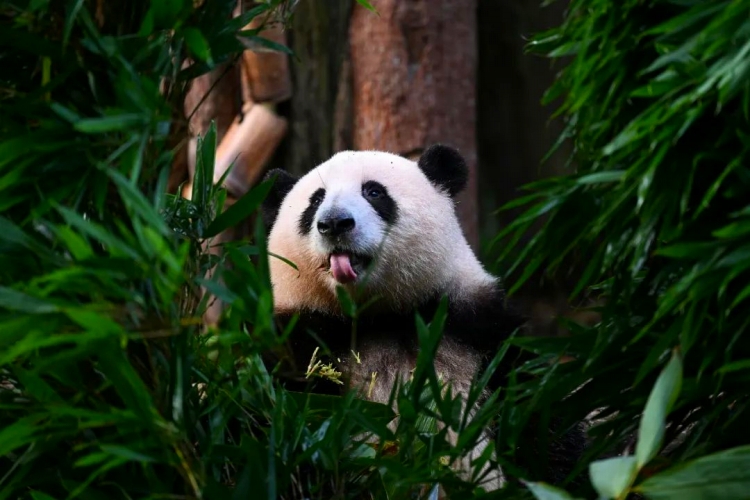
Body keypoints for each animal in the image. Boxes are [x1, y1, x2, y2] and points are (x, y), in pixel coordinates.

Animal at [260, 145, 584, 492]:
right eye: (316, 200)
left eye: (373, 192)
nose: (334, 223)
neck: (380, 315)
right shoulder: (301, 337)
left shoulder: (477, 329)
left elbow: (538, 416)